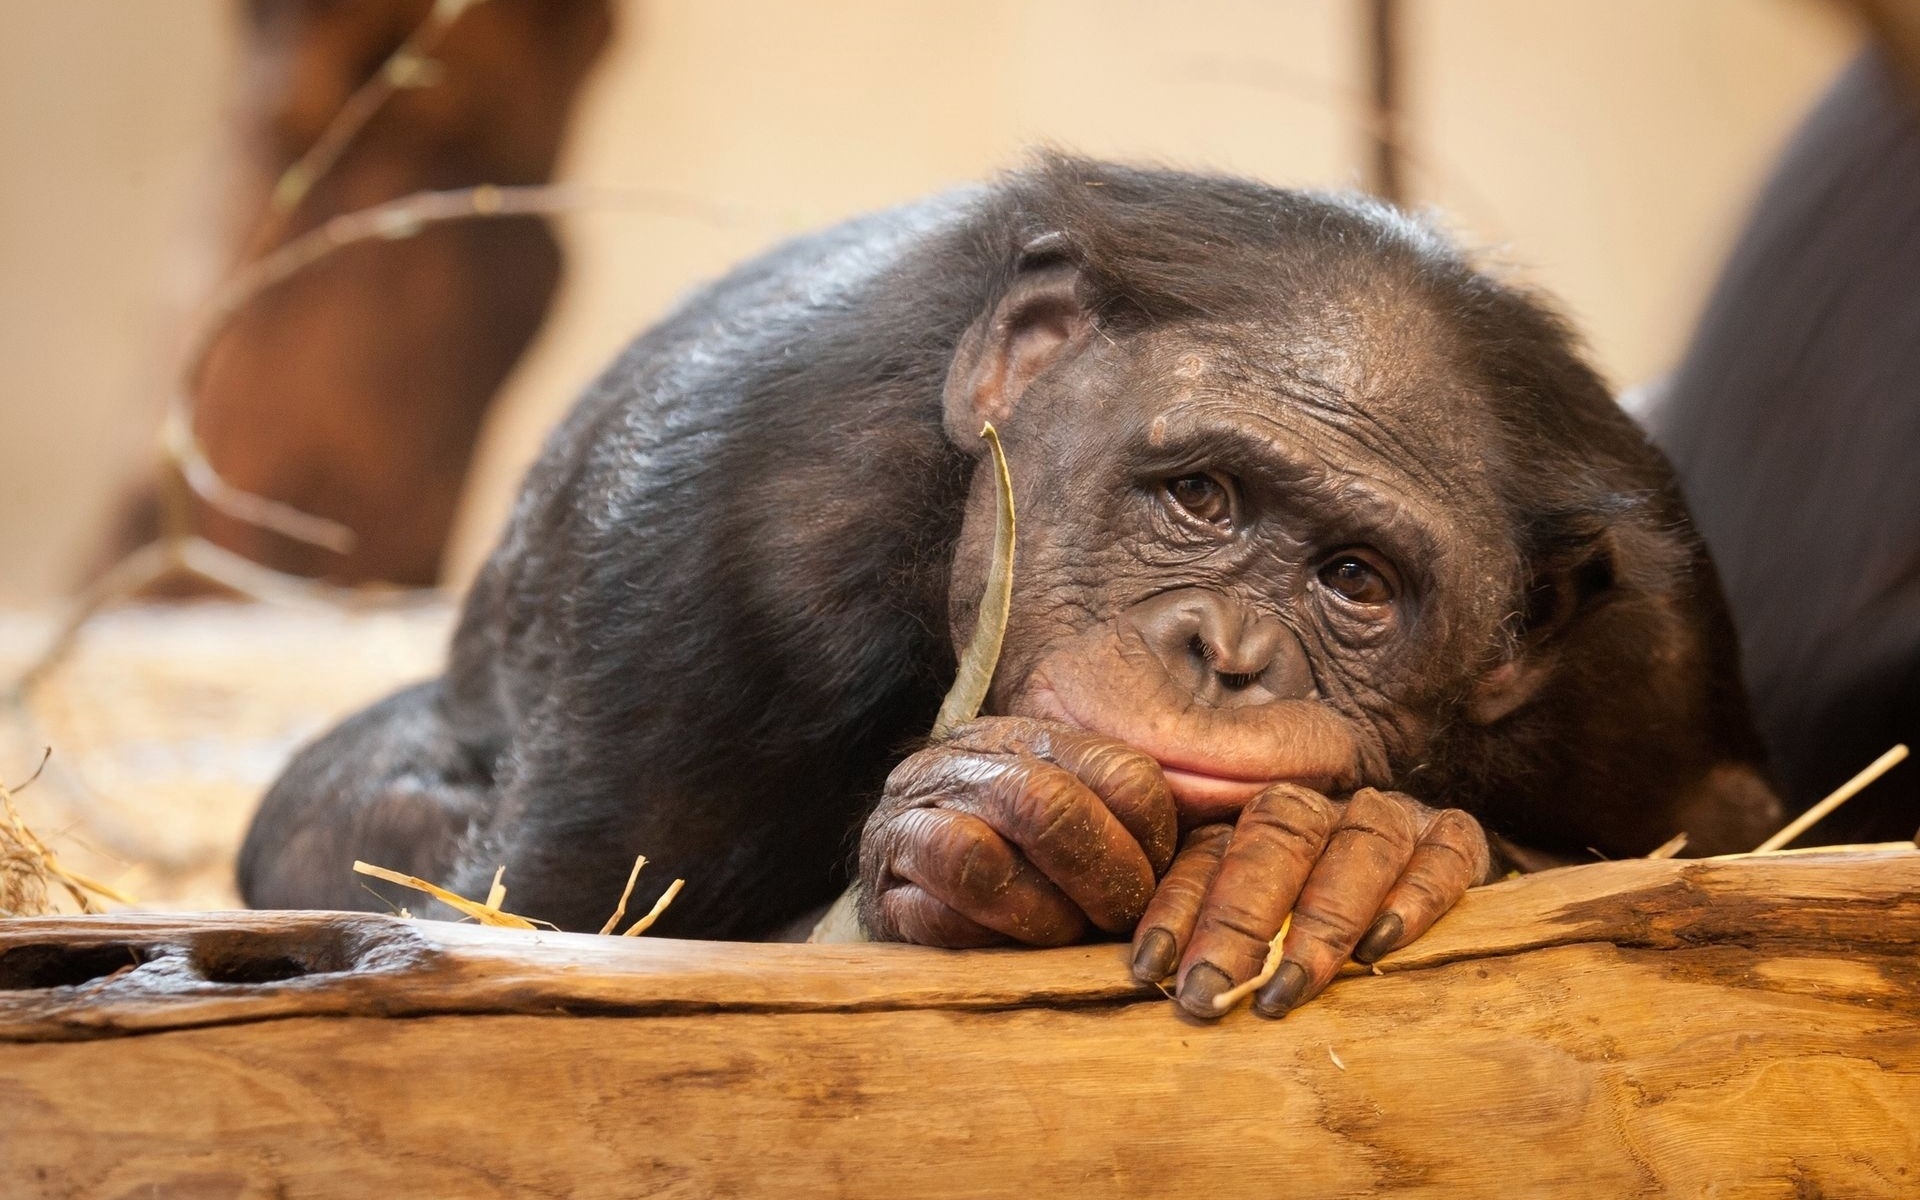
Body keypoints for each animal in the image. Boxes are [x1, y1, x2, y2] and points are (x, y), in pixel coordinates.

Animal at [240, 154, 1781, 1021]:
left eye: (1355, 579)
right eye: (1201, 498)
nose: (1227, 649)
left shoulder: (1648, 670)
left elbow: (1724, 851)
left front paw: (1354, 850)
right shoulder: (711, 556)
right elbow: (546, 927)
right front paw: (984, 820)